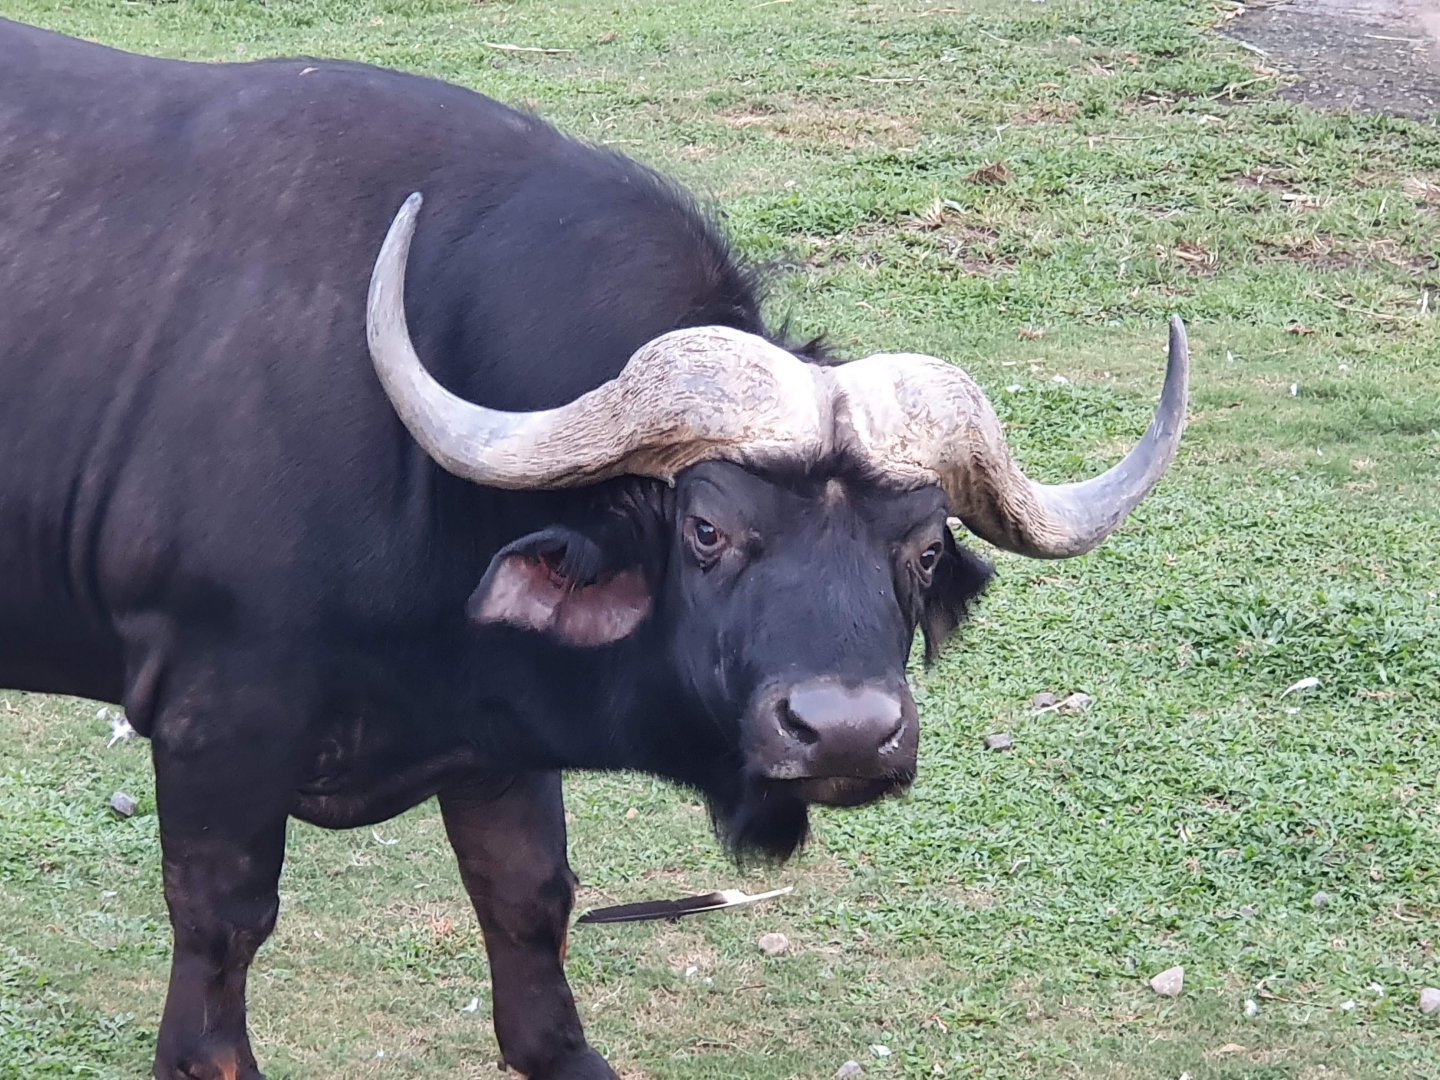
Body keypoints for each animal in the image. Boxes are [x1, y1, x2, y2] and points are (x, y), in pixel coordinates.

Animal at [0, 17, 1187, 1079]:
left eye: (926, 549)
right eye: (708, 528)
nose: (847, 733)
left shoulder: (494, 734)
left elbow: (531, 909)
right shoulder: (218, 720)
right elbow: (220, 943)